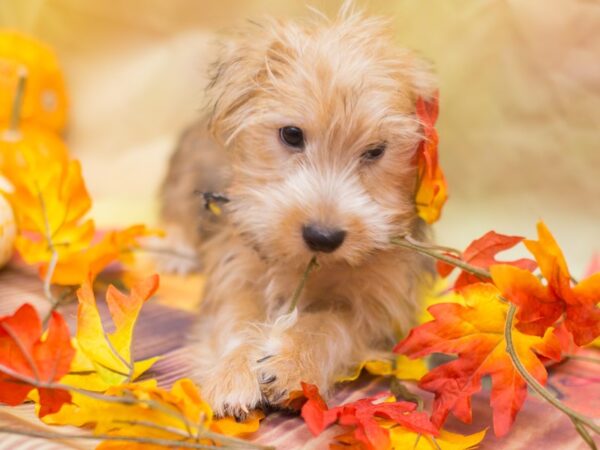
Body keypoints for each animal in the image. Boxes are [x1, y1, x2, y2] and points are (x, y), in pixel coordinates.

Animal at [162, 4, 438, 418]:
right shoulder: (236, 268)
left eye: (376, 151)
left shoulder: (379, 305)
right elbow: (236, 320)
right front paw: (232, 373)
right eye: (291, 135)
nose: (323, 238)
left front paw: (294, 364)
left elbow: (329, 324)